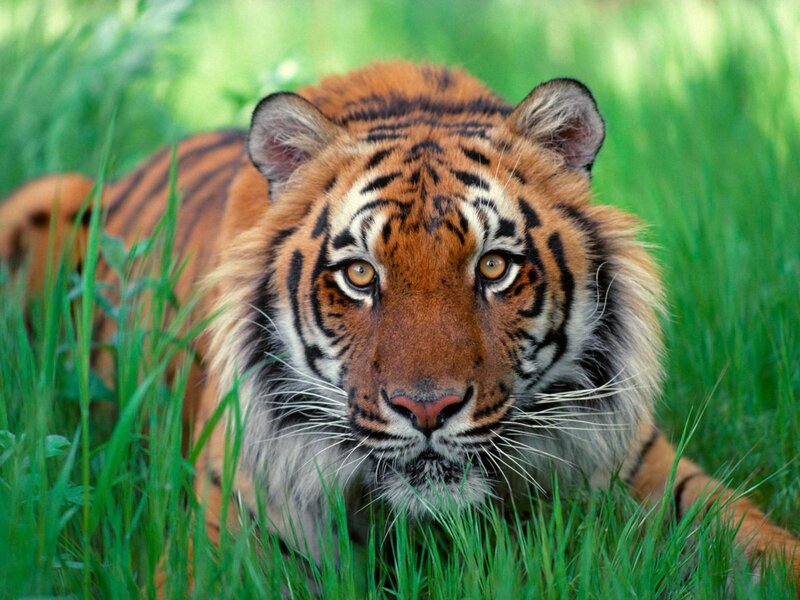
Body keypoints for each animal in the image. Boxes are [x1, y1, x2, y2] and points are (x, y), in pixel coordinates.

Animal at [1, 61, 798, 589]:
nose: (428, 409)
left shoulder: (646, 469)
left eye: (493, 267)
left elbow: (760, 543)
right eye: (360, 276)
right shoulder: (227, 537)